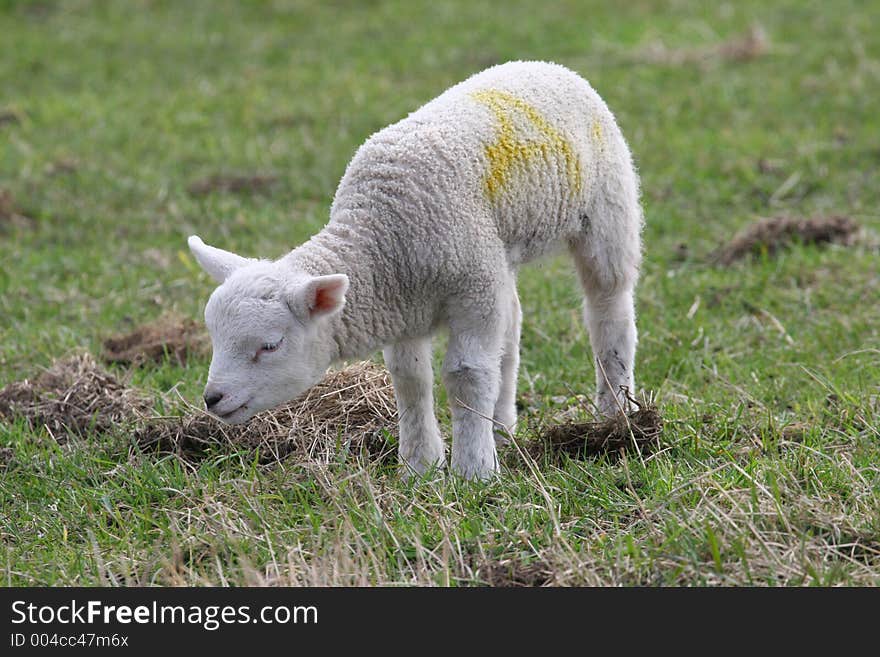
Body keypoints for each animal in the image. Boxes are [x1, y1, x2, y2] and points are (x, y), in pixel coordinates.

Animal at [187, 61, 640, 480]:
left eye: (270, 346)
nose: (213, 399)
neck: (380, 237)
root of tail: (543, 66)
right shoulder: (402, 304)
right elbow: (410, 380)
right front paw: (419, 466)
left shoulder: (470, 289)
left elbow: (466, 375)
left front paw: (474, 471)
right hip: (496, 253)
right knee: (510, 327)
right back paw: (502, 425)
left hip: (607, 208)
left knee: (609, 309)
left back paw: (615, 415)